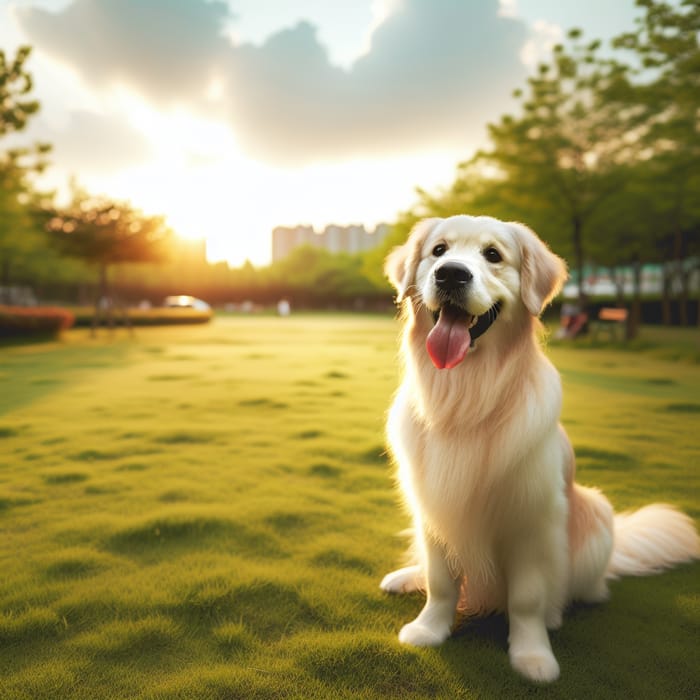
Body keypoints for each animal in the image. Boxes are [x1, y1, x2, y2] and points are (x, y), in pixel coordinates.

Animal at [382, 216, 700, 680]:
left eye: (493, 255)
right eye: (438, 251)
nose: (451, 274)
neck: (465, 398)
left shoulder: (532, 519)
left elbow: (527, 598)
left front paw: (532, 656)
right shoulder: (434, 509)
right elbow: (441, 583)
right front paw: (429, 629)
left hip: (597, 514)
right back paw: (406, 576)